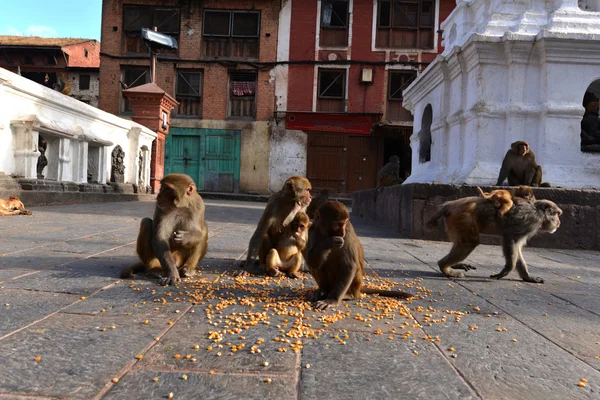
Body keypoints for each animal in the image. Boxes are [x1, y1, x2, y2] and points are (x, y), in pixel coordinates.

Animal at [426, 195, 564, 282]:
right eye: (557, 214)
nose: (559, 222)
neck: (538, 211)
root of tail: (450, 204)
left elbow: (517, 247)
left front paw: (527, 277)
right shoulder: (531, 221)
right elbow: (510, 238)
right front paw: (507, 269)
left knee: (464, 241)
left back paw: (452, 265)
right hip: (462, 217)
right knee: (470, 242)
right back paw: (444, 267)